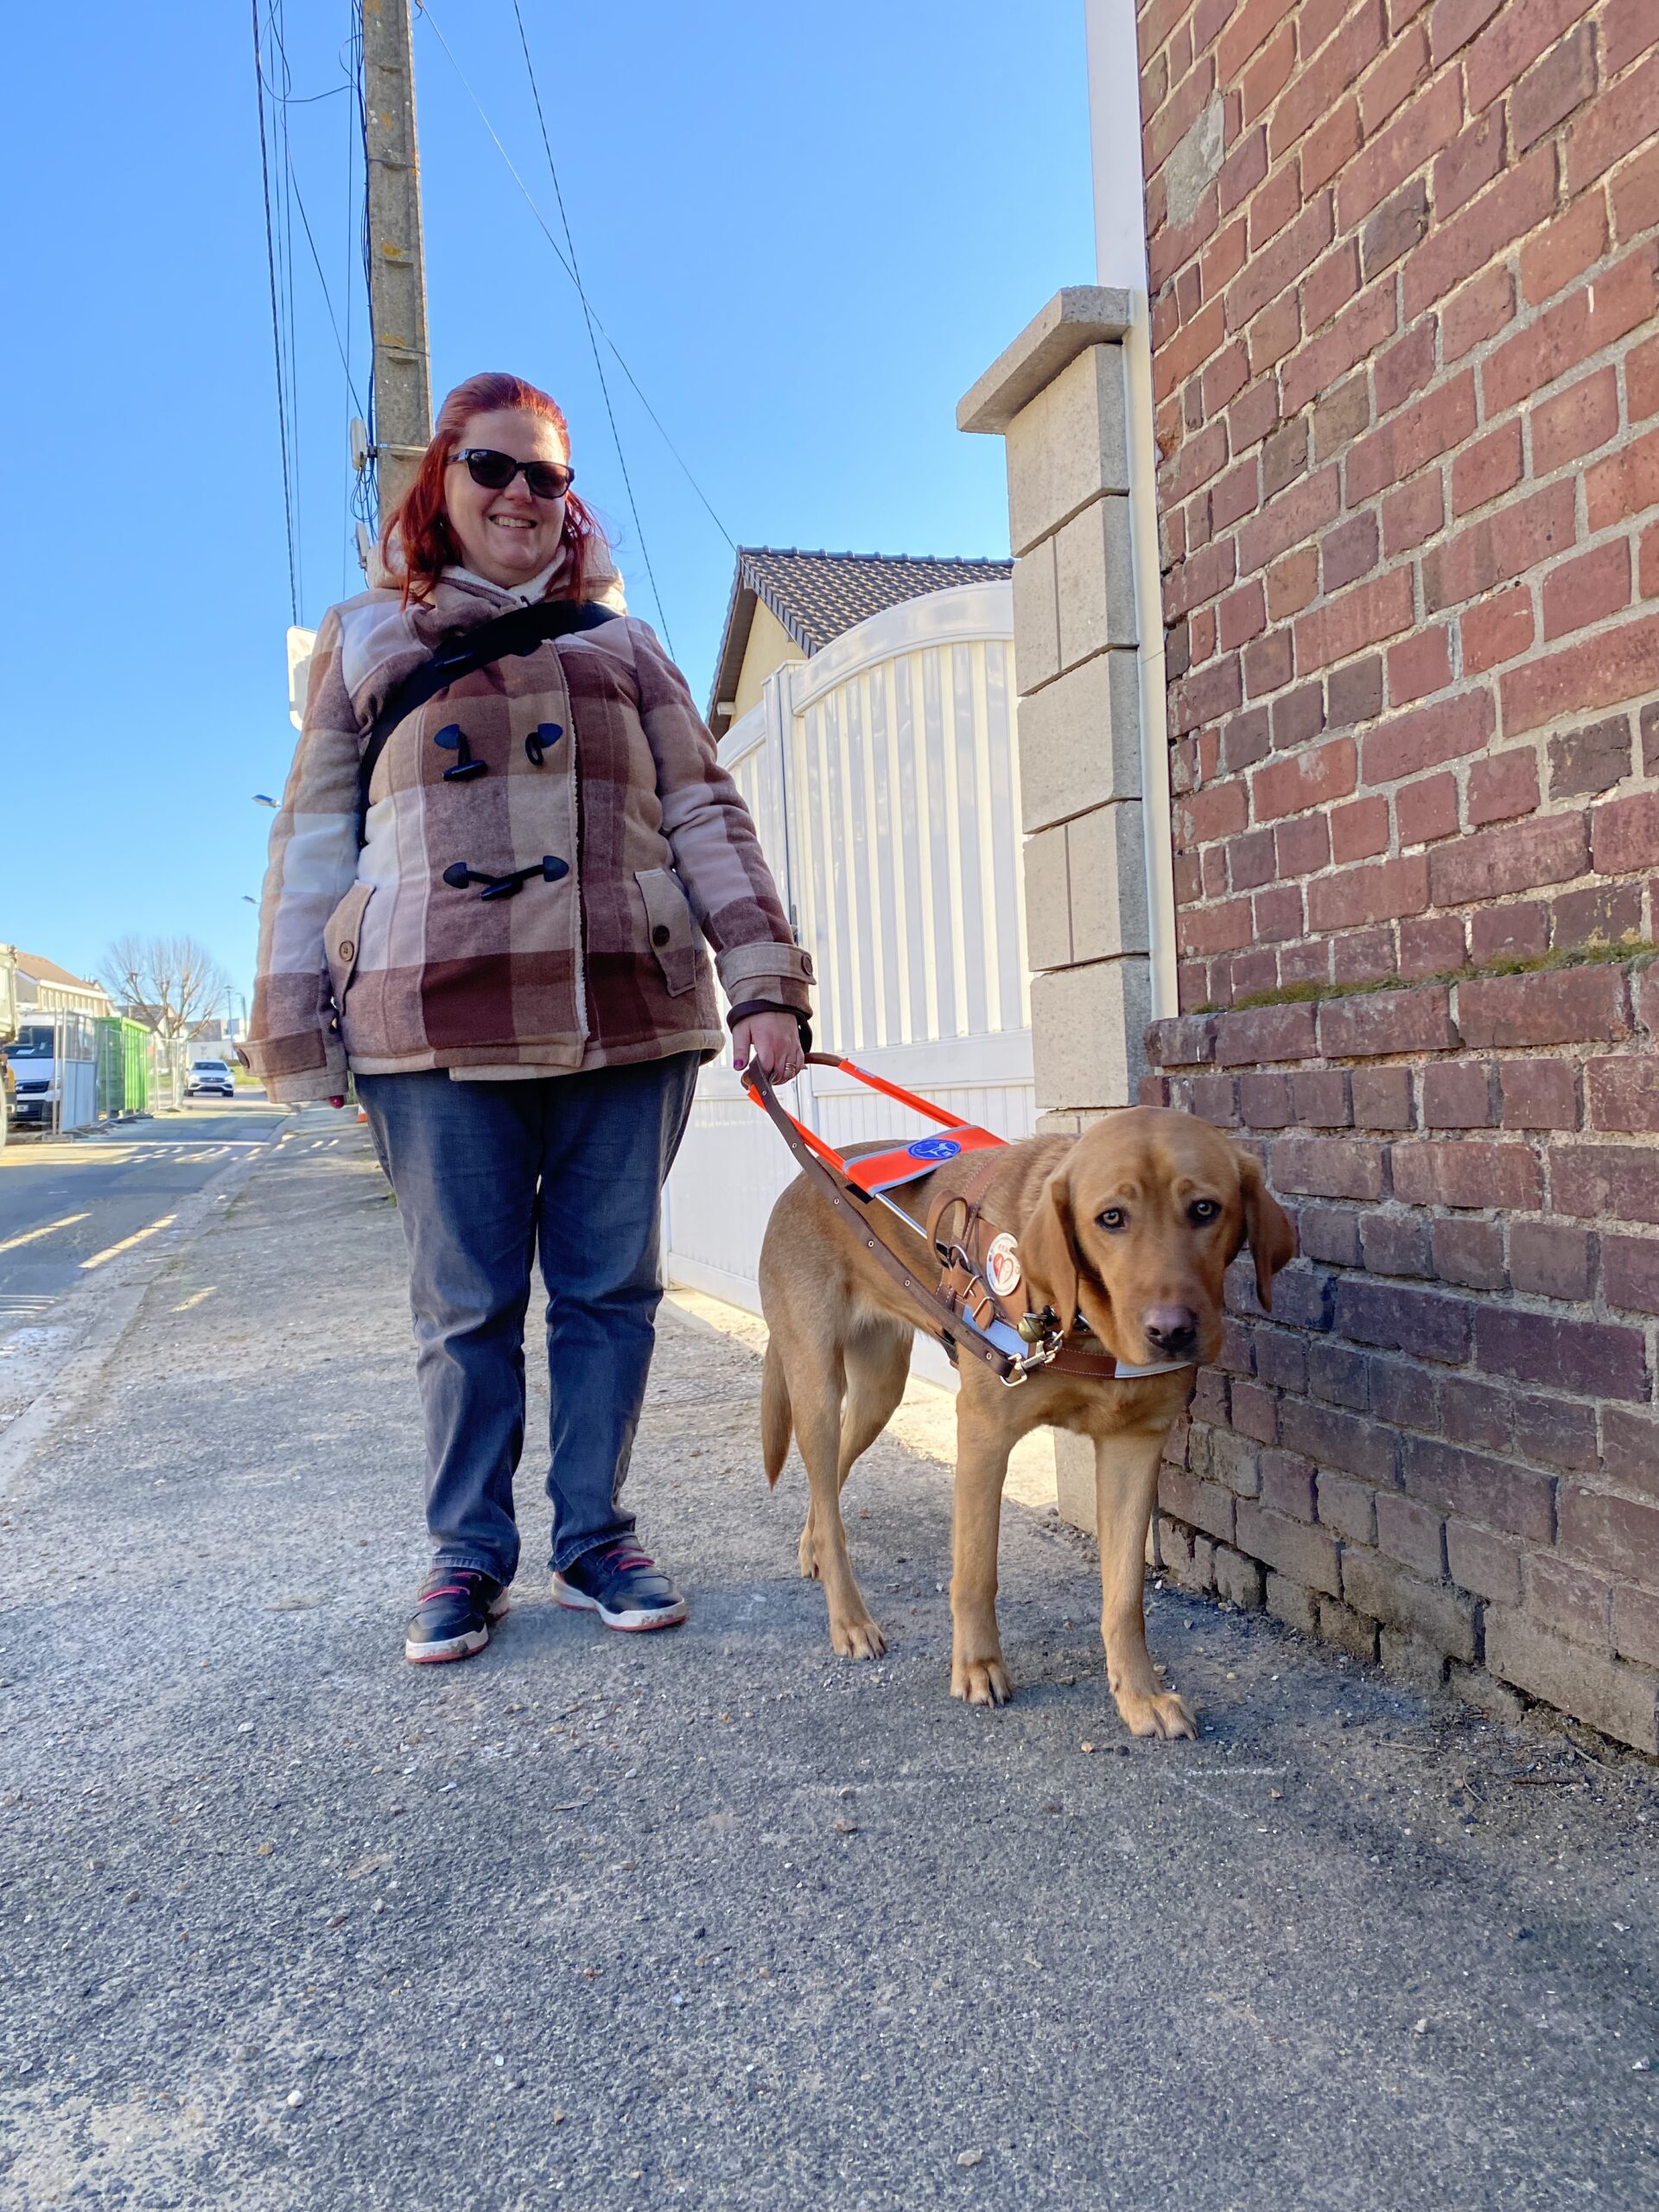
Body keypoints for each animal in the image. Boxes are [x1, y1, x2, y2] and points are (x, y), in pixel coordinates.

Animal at [765, 1115, 1300, 1734]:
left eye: (1205, 1209)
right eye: (1111, 1218)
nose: (1171, 1332)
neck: (1084, 1325)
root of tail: (793, 1186)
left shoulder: (1134, 1446)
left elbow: (1125, 1597)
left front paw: (1138, 1695)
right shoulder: (982, 1434)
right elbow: (976, 1572)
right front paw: (977, 1667)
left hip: (878, 1393)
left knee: (828, 1481)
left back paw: (813, 1552)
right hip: (817, 1388)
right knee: (829, 1495)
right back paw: (850, 1619)